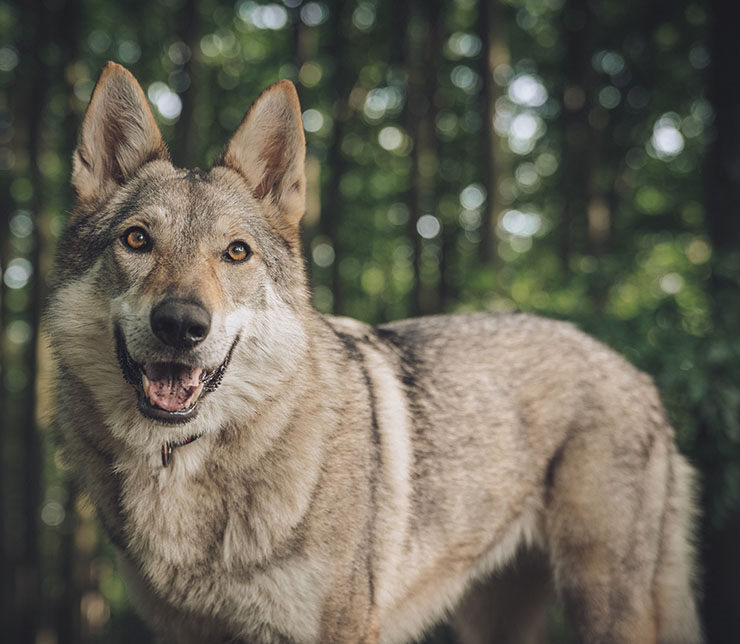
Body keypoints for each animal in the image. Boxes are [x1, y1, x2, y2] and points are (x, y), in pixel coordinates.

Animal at [46, 62, 703, 643]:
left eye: (235, 252)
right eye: (137, 240)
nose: (181, 324)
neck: (185, 462)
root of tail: (635, 372)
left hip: (605, 607)